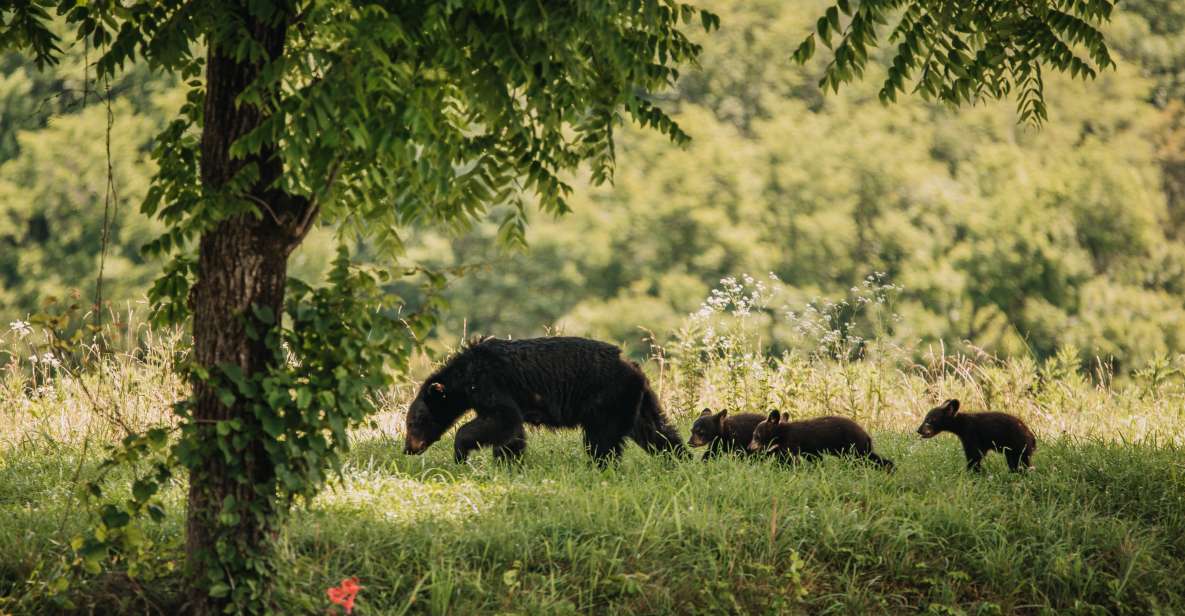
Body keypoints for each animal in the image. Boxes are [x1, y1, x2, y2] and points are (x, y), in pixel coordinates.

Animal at [402, 336, 687, 462]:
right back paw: (678, 458)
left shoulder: (490, 383)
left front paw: (461, 452)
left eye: (413, 423)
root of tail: (634, 367)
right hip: (637, 399)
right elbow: (510, 431)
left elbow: (501, 418)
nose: (408, 448)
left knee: (602, 440)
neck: (464, 375)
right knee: (656, 430)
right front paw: (510, 462)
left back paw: (600, 466)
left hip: (607, 398)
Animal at [748, 412, 891, 469]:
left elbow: (787, 457)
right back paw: (890, 468)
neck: (782, 432)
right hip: (860, 449)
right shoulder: (808, 449)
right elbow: (815, 457)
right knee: (874, 458)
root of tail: (867, 435)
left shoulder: (793, 441)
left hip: (853, 447)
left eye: (755, 435)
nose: (749, 447)